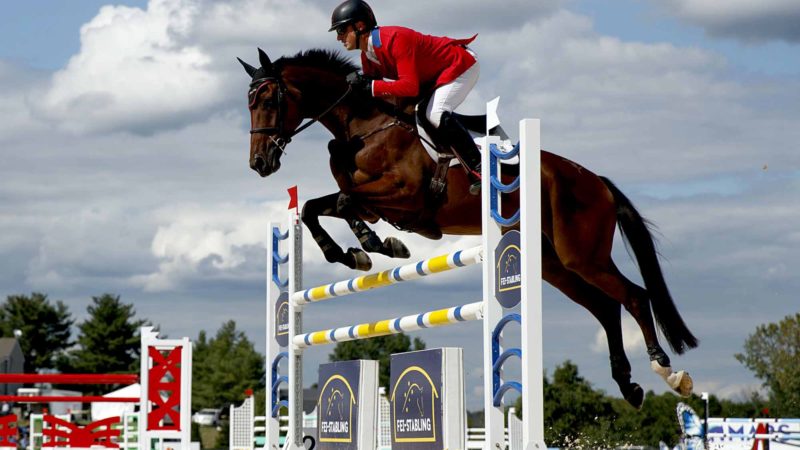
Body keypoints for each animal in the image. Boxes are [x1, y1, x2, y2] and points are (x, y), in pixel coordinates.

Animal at [238, 48, 692, 408]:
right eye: (249, 103)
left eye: (269, 98)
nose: (259, 163)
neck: (362, 127)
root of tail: (596, 180)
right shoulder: (370, 200)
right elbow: (315, 206)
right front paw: (351, 253)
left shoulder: (407, 197)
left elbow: (348, 202)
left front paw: (373, 245)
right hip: (553, 264)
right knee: (605, 306)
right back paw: (629, 386)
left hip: (583, 254)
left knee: (635, 296)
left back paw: (667, 372)